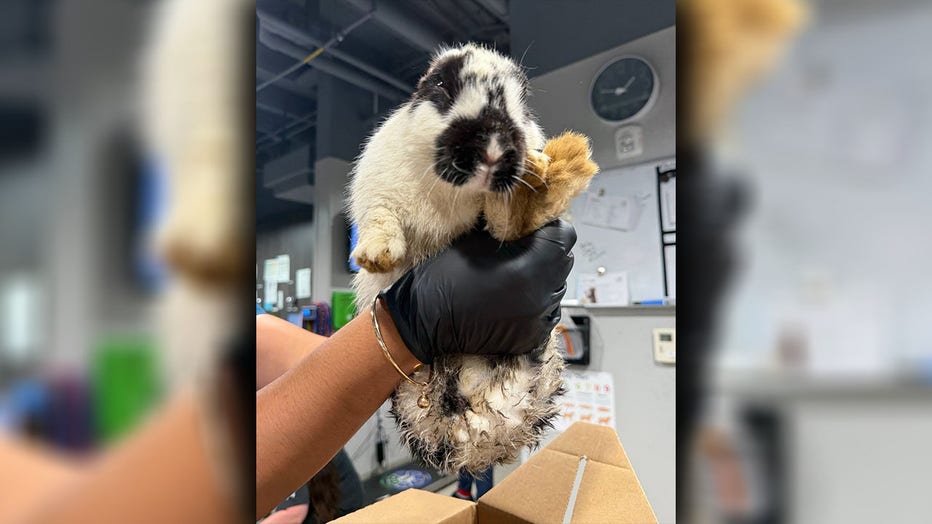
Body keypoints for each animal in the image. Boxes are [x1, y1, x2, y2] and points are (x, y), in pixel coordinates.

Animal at [348, 43, 596, 473]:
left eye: (524, 99)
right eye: (440, 85)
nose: (494, 148)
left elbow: (501, 228)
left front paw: (543, 165)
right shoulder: (378, 193)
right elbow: (382, 220)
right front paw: (376, 256)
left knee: (509, 224)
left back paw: (566, 162)